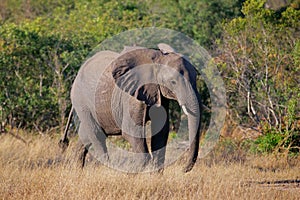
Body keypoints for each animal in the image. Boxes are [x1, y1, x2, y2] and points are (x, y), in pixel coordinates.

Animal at [60, 43, 202, 172]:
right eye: (173, 82)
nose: (183, 169)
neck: (157, 59)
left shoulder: (158, 93)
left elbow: (161, 131)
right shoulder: (131, 95)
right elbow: (131, 130)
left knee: (86, 136)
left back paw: (77, 170)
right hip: (81, 100)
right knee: (97, 135)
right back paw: (108, 170)